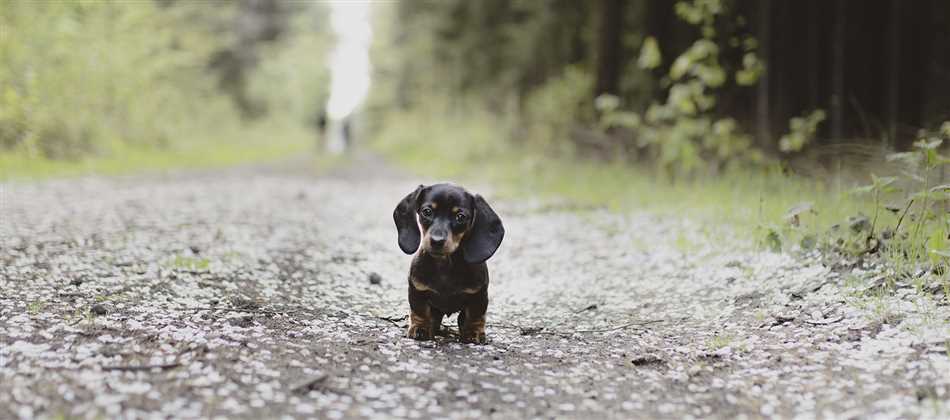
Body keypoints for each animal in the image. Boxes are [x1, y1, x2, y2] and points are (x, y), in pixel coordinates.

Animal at [394, 184, 506, 344]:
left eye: (460, 216)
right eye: (427, 211)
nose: (437, 241)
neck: (445, 264)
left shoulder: (479, 295)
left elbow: (475, 316)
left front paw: (473, 332)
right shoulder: (417, 290)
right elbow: (419, 312)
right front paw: (420, 328)